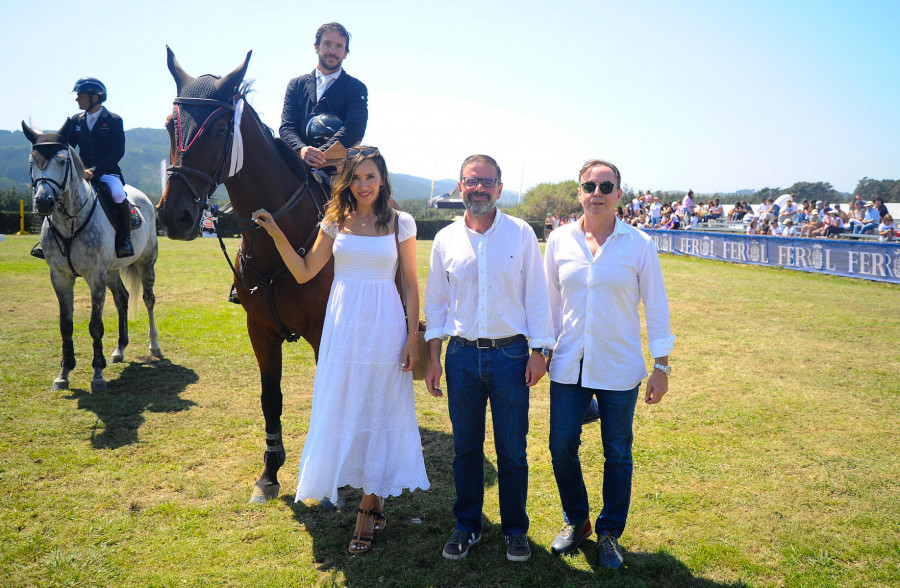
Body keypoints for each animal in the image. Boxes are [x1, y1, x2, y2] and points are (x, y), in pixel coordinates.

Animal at [24, 122, 162, 392]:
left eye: (63, 160)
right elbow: (65, 325)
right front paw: (63, 374)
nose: (44, 202)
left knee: (149, 299)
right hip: (113, 271)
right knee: (122, 299)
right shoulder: (60, 277)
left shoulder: (95, 275)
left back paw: (154, 347)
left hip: (145, 262)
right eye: (32, 162)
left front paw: (97, 374)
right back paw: (119, 349)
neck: (69, 221)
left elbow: (95, 326)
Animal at [157, 48, 334, 504]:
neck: (280, 241)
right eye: (168, 125)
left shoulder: (323, 329)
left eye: (221, 130)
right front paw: (269, 473)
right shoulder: (261, 329)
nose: (175, 216)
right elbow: (270, 398)